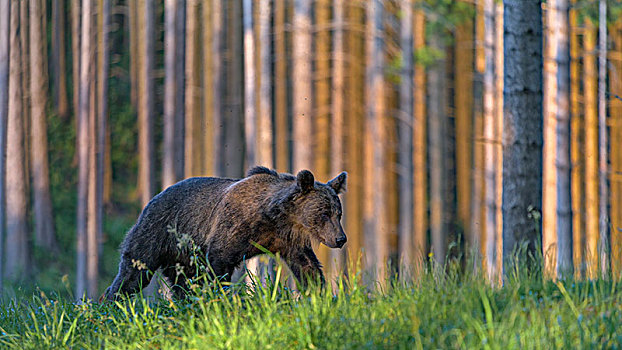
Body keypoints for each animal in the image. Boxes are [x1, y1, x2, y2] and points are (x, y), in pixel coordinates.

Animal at [102, 165, 346, 300]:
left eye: (338, 213)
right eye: (324, 213)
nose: (341, 239)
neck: (275, 218)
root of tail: (152, 198)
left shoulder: (287, 241)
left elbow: (307, 267)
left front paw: (319, 294)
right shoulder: (232, 228)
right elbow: (219, 264)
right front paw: (221, 298)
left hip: (182, 255)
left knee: (183, 283)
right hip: (157, 232)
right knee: (134, 272)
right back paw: (110, 302)